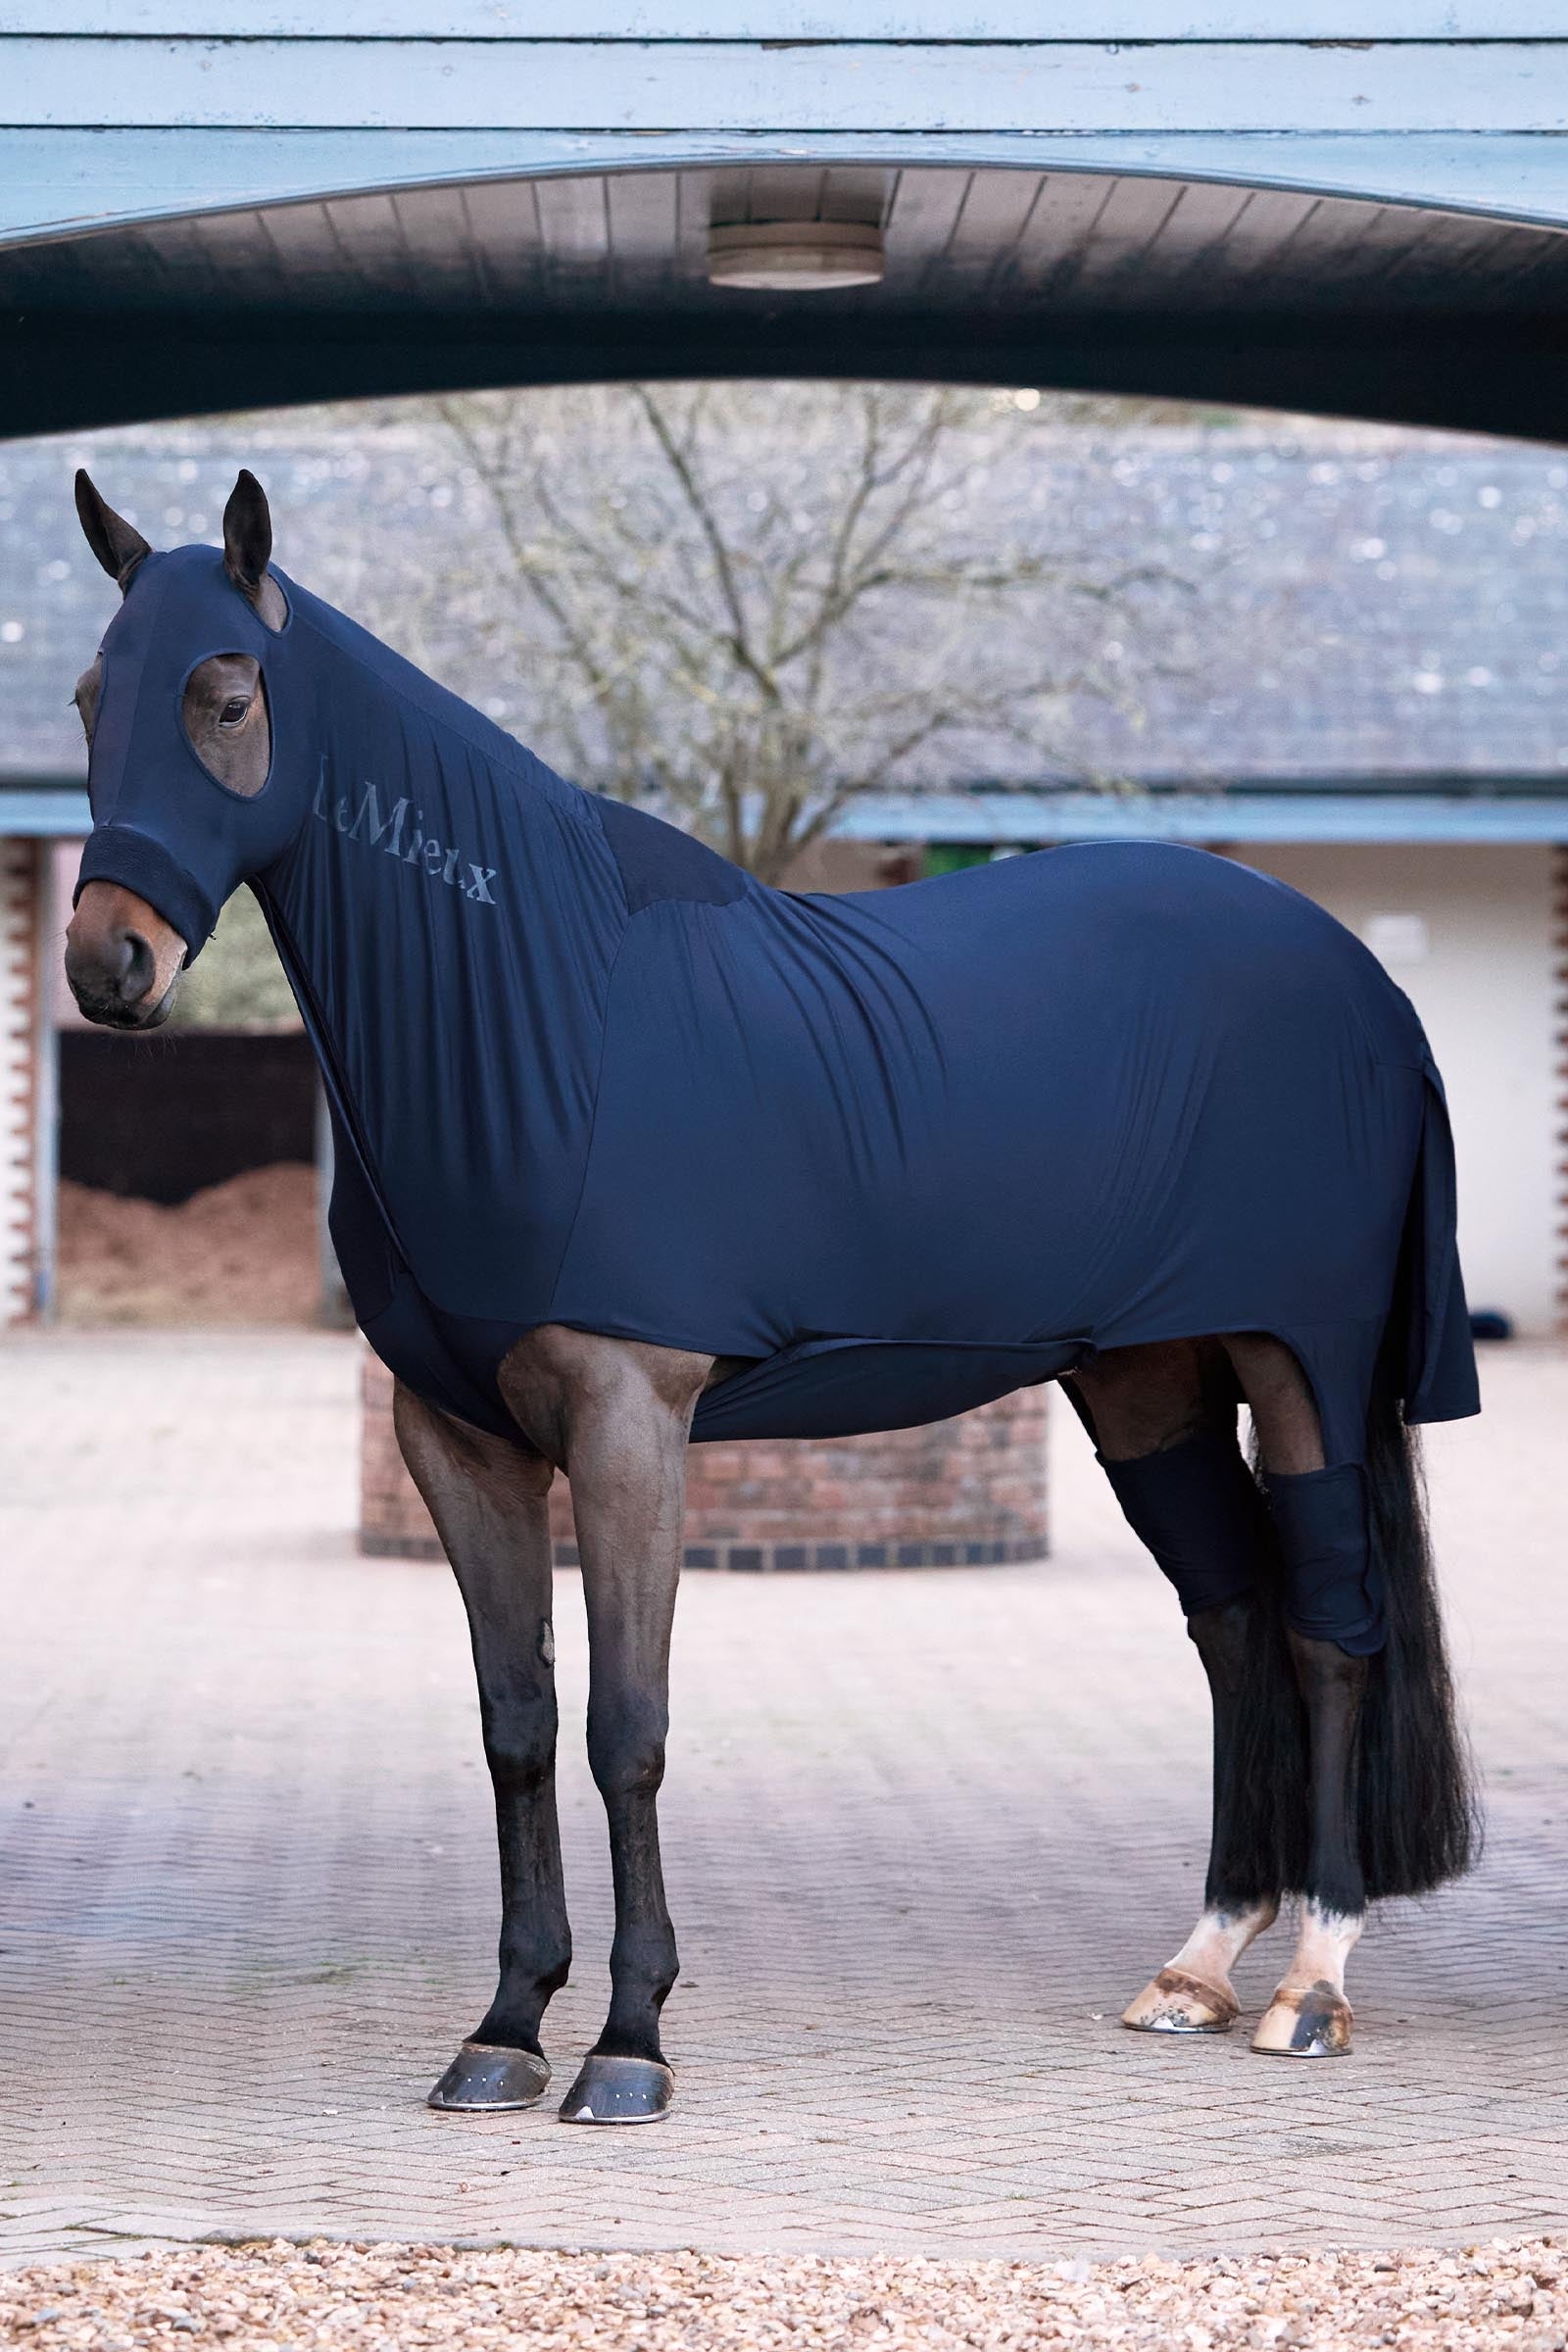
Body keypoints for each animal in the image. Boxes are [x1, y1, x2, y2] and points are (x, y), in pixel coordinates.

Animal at [62, 467, 1479, 2127]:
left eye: (226, 699)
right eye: (89, 700)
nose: (109, 963)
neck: (554, 1012)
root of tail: (1357, 979)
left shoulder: (630, 1426)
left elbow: (627, 1732)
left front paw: (628, 2043)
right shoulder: (455, 1439)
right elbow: (517, 1728)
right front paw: (505, 2025)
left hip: (1302, 1359)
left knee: (1329, 1630)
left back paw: (1312, 1986)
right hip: (1145, 1380)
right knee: (1234, 1615)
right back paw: (1197, 1968)